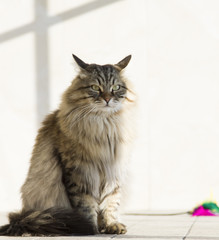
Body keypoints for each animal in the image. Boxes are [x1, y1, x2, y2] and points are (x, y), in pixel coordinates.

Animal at [0, 54, 135, 236]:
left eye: (116, 87)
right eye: (95, 87)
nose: (107, 99)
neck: (105, 127)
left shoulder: (114, 172)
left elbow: (111, 203)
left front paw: (111, 225)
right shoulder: (79, 172)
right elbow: (86, 205)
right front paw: (90, 228)